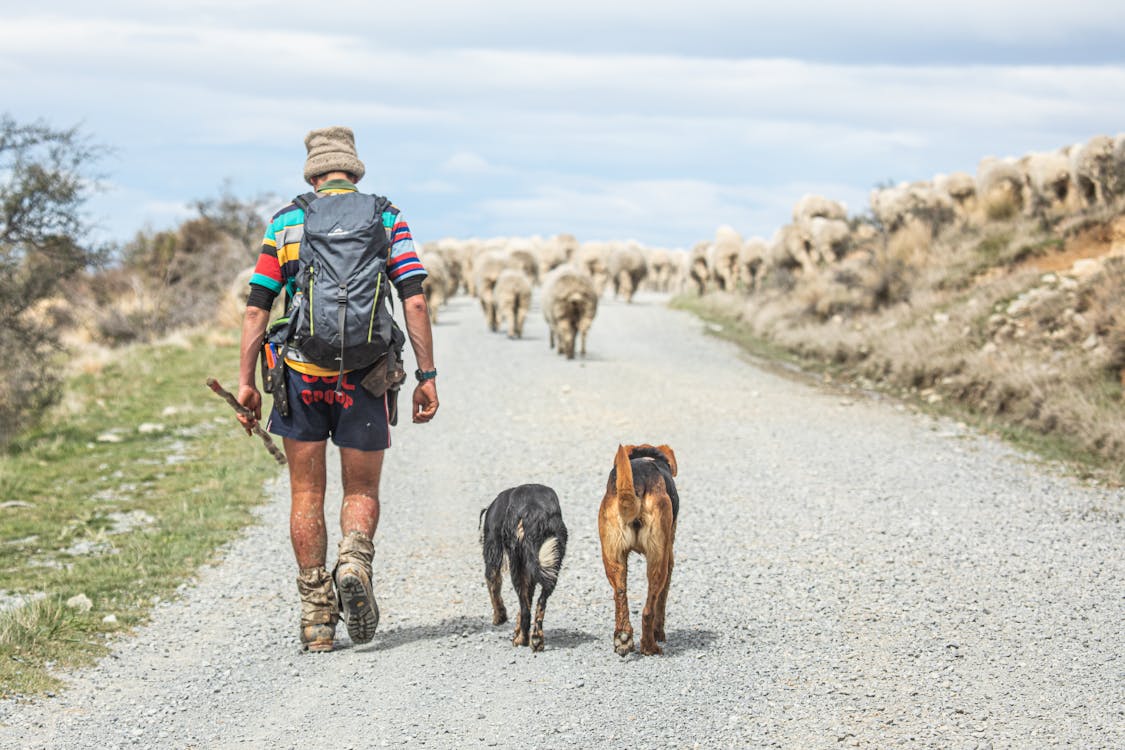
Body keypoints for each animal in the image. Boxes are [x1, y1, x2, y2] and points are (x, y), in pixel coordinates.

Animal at [479, 488, 567, 652]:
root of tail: (533, 511)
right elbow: (527, 602)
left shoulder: (492, 557)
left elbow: (495, 592)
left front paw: (500, 617)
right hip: (551, 564)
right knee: (539, 604)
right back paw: (537, 639)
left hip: (516, 565)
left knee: (526, 611)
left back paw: (522, 640)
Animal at [598, 445, 675, 656]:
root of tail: (638, 482)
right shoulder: (669, 558)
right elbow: (661, 602)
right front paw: (659, 633)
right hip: (658, 561)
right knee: (649, 609)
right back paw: (650, 646)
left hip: (613, 559)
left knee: (620, 594)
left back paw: (623, 638)